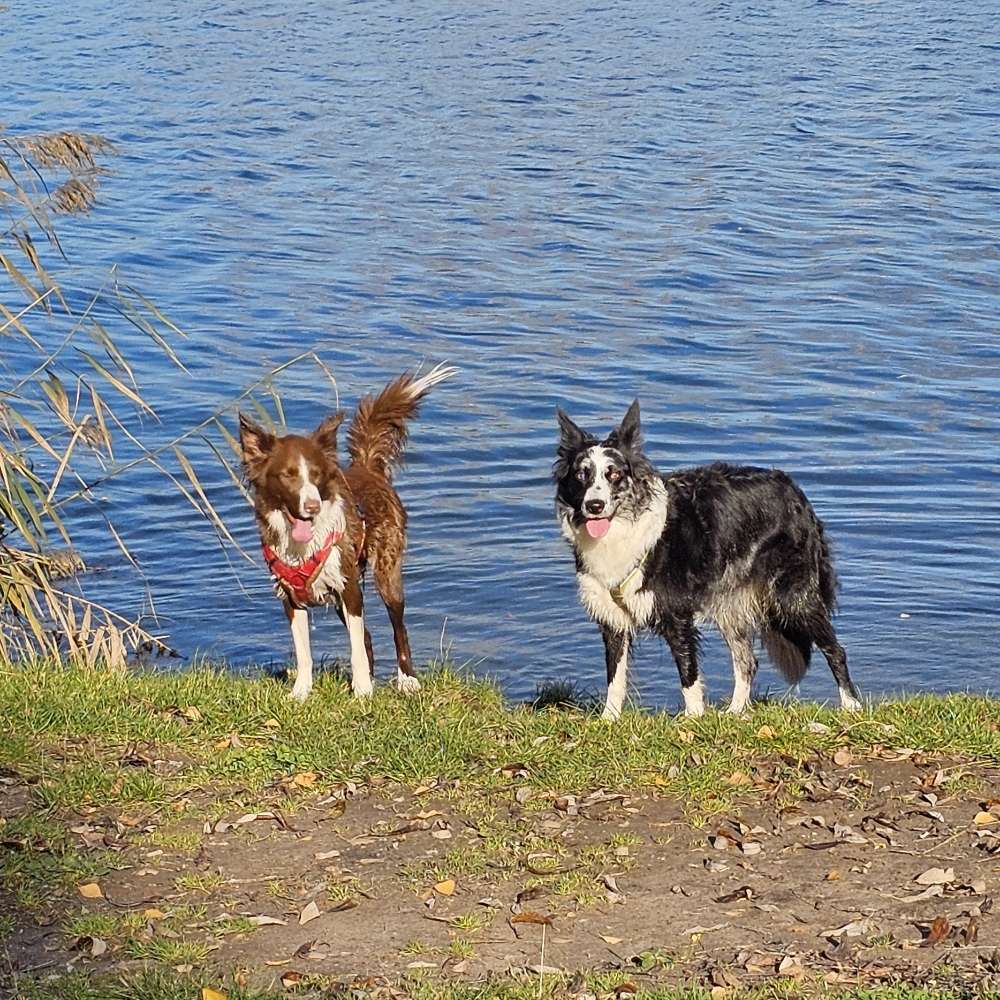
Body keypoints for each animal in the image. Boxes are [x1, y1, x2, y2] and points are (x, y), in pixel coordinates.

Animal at [240, 364, 458, 700]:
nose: (312, 506)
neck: (302, 545)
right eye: (288, 475)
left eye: (317, 475)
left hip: (386, 573)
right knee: (367, 637)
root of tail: (367, 467)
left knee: (398, 628)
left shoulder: (350, 589)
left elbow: (356, 647)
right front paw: (301, 693)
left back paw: (406, 679)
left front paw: (363, 693)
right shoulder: (290, 597)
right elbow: (304, 652)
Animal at [552, 398, 864, 720]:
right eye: (581, 474)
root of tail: (795, 490)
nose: (594, 505)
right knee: (747, 661)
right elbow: (615, 677)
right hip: (730, 602)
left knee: (835, 649)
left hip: (793, 596)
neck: (623, 531)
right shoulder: (611, 617)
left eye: (614, 474)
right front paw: (609, 720)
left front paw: (693, 720)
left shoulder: (676, 615)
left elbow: (688, 675)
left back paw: (851, 706)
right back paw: (735, 711)